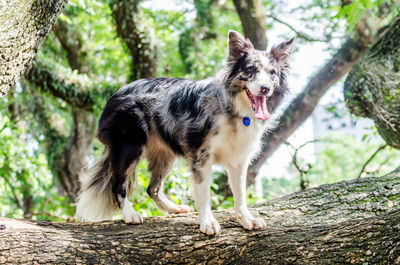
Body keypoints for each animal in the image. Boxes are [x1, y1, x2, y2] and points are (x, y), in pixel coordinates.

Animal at [76, 29, 294, 234]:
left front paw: (247, 219)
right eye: (250, 70)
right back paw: (129, 214)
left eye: (272, 73)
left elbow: (240, 194)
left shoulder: (238, 159)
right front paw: (207, 222)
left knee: (152, 188)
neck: (233, 108)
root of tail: (114, 96)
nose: (265, 89)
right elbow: (204, 193)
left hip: (165, 154)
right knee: (118, 184)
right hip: (129, 147)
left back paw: (172, 209)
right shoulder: (201, 155)